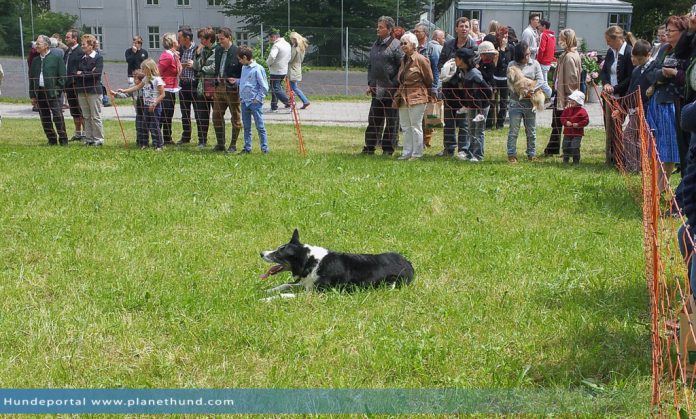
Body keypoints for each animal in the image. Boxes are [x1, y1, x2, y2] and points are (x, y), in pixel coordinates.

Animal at [260, 230, 414, 302]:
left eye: (278, 254)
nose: (261, 253)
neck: (312, 262)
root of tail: (409, 264)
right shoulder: (308, 284)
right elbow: (285, 285)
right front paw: (267, 291)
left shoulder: (317, 293)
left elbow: (286, 294)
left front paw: (266, 299)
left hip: (391, 283)